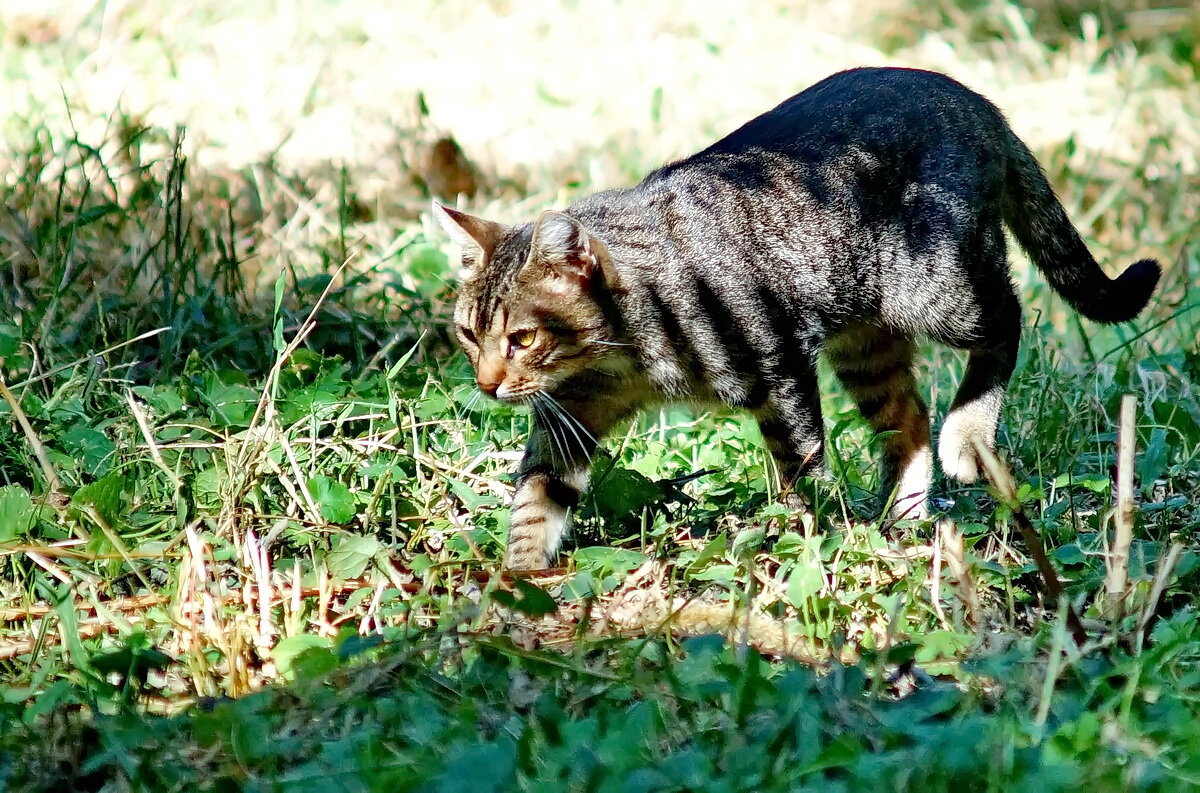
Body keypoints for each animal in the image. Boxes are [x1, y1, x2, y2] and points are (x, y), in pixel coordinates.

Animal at [436, 65, 1156, 566]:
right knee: (908, 417)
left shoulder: (779, 372)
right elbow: (534, 500)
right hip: (865, 341)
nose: (487, 385)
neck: (625, 355)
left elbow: (801, 469)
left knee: (1009, 318)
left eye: (522, 338)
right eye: (470, 333)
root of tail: (970, 97)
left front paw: (797, 536)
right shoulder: (572, 416)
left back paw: (966, 434)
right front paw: (518, 584)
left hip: (937, 288)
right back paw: (904, 516)